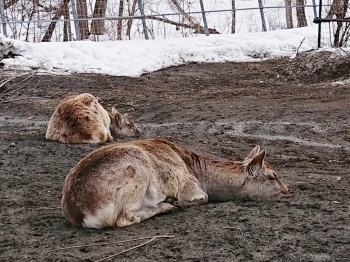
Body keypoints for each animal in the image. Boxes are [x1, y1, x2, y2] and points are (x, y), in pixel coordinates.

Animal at [61, 138, 292, 228]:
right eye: (272, 176)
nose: (287, 191)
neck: (200, 175)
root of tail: (80, 212)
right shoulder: (189, 187)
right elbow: (202, 198)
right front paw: (176, 201)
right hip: (137, 173)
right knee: (125, 218)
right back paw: (167, 205)